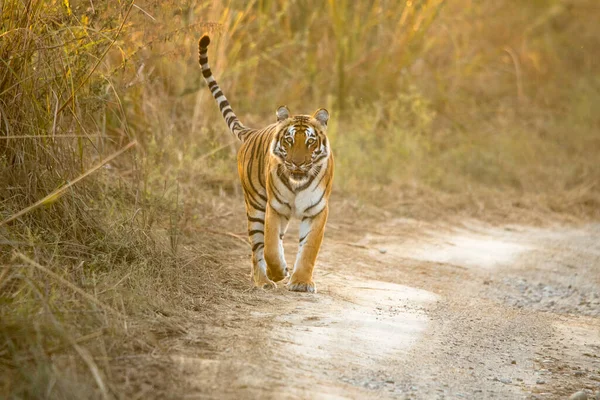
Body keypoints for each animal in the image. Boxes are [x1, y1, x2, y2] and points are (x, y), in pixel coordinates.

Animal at [198, 34, 332, 292]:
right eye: (289, 140)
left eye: (310, 142)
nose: (297, 163)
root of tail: (252, 132)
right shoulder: (274, 207)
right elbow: (269, 248)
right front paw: (279, 272)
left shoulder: (317, 211)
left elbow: (309, 249)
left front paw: (301, 282)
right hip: (255, 204)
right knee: (257, 248)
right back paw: (264, 280)